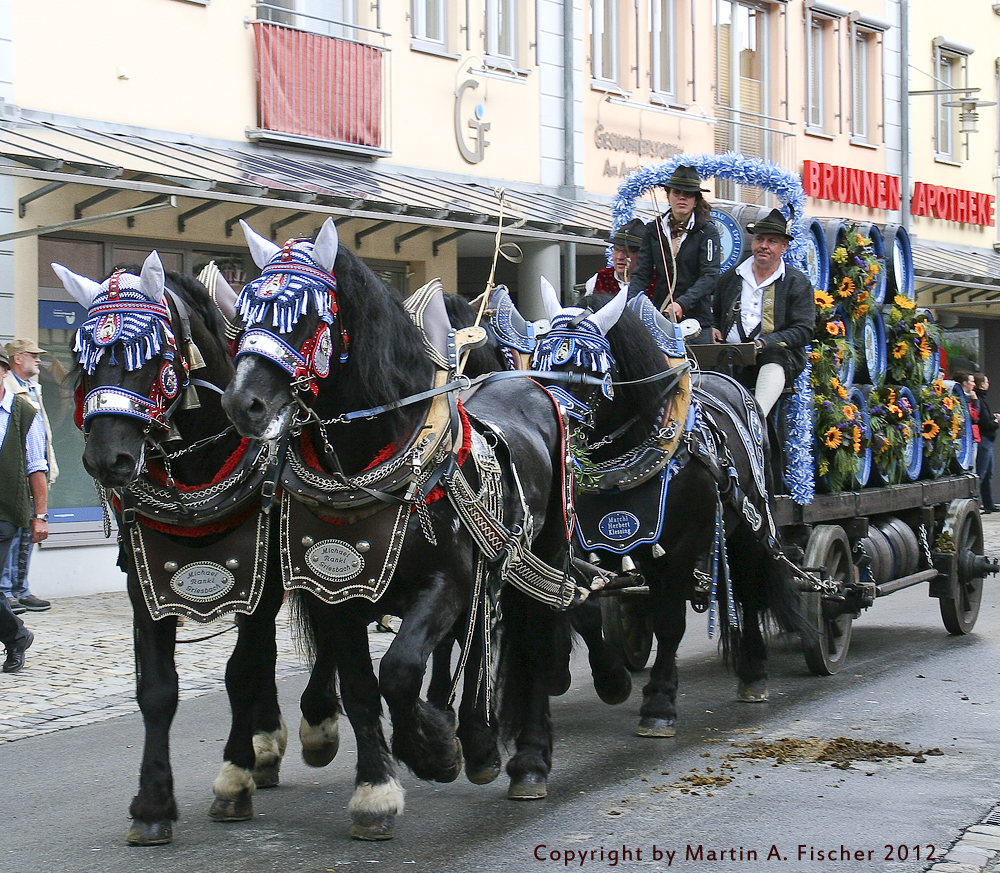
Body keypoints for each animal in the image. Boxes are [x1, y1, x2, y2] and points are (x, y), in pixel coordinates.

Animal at [53, 255, 286, 840]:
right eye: (83, 359)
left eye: (152, 356)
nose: (106, 459)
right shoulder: (147, 584)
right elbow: (157, 690)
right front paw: (153, 803)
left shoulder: (261, 581)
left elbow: (240, 672)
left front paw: (233, 780)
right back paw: (267, 748)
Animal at [222, 218, 576, 836]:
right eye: (244, 313)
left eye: (308, 315)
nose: (244, 404)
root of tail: (529, 383)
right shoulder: (336, 596)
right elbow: (363, 689)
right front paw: (376, 790)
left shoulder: (446, 583)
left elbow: (401, 669)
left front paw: (432, 750)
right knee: (481, 646)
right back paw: (480, 743)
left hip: (544, 558)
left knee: (532, 642)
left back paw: (526, 760)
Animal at [528, 290, 808, 732]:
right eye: (538, 364)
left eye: (585, 370)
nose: (550, 432)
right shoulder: (581, 541)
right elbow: (578, 603)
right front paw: (600, 677)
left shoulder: (680, 545)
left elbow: (670, 621)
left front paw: (658, 702)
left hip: (748, 526)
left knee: (748, 588)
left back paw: (753, 672)